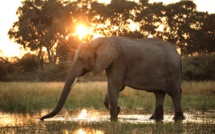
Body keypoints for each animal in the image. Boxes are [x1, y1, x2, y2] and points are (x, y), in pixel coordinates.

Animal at [40, 35, 185, 121]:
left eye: (81, 59)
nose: (41, 119)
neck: (98, 42)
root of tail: (178, 55)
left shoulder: (118, 61)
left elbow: (114, 85)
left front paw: (114, 118)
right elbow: (117, 87)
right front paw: (116, 110)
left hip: (172, 71)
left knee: (174, 93)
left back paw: (178, 119)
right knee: (159, 93)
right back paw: (155, 119)